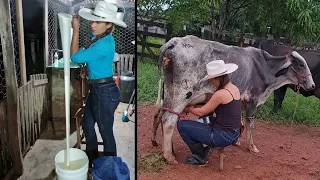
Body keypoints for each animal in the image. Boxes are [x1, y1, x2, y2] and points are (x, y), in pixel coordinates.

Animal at [152, 35, 316, 165]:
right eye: (301, 65)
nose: (312, 85)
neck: (265, 68)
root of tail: (174, 41)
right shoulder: (252, 100)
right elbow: (250, 125)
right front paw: (251, 146)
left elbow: (240, 123)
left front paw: (237, 141)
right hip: (182, 93)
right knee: (168, 120)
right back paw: (169, 156)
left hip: (168, 92)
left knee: (159, 115)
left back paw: (164, 147)